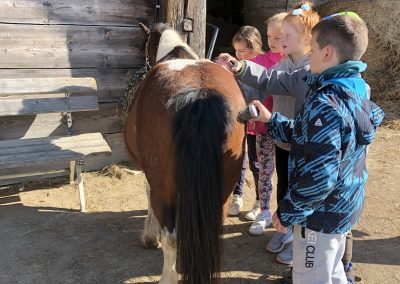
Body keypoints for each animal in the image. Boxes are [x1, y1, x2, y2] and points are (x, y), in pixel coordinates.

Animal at [123, 23, 245, 284]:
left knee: (172, 238)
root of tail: (200, 96)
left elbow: (147, 193)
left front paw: (149, 236)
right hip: (222, 190)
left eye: (144, 46)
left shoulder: (151, 176)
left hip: (164, 187)